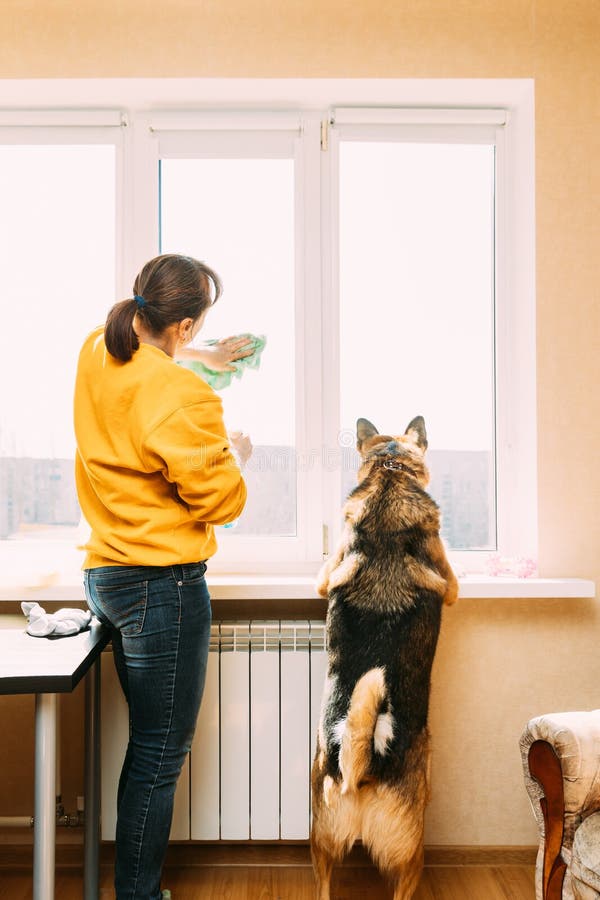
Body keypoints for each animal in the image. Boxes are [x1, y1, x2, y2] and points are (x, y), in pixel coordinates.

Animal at [312, 416, 458, 900]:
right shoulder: (452, 584)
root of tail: (364, 765)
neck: (391, 474)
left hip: (320, 841)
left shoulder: (324, 576)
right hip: (411, 853)